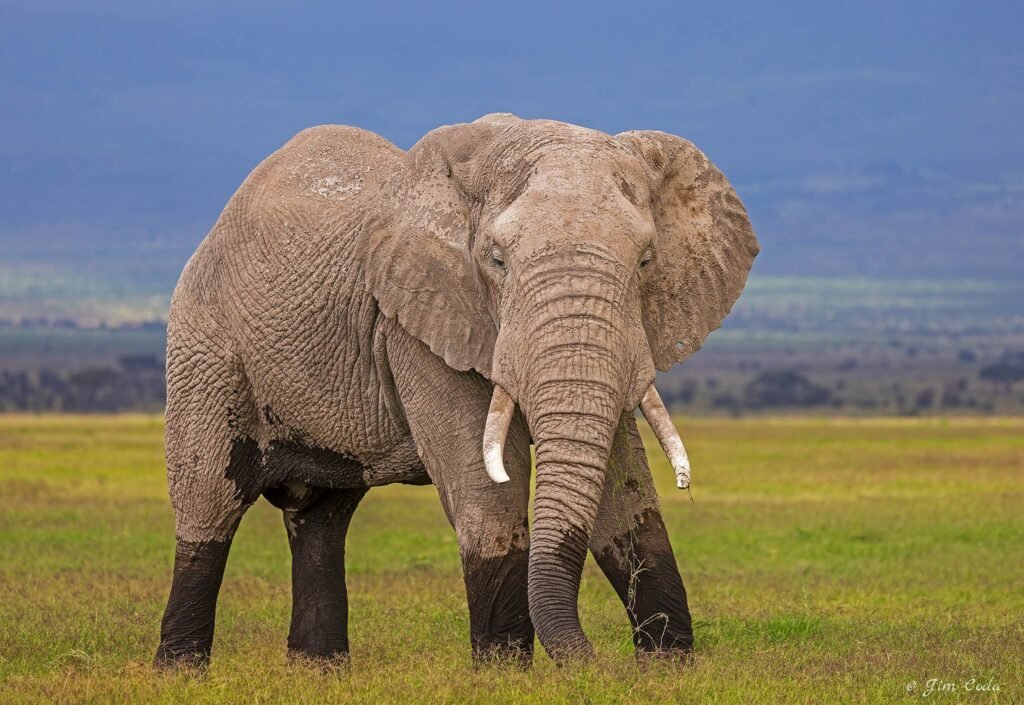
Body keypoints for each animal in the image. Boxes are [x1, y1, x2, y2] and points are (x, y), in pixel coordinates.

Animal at [154, 113, 758, 669]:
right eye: (497, 260)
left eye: (646, 261)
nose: (598, 664)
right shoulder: (415, 323)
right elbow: (487, 490)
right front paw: (505, 676)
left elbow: (625, 494)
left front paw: (667, 670)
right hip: (205, 347)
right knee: (210, 504)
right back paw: (182, 672)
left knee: (322, 518)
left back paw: (317, 672)